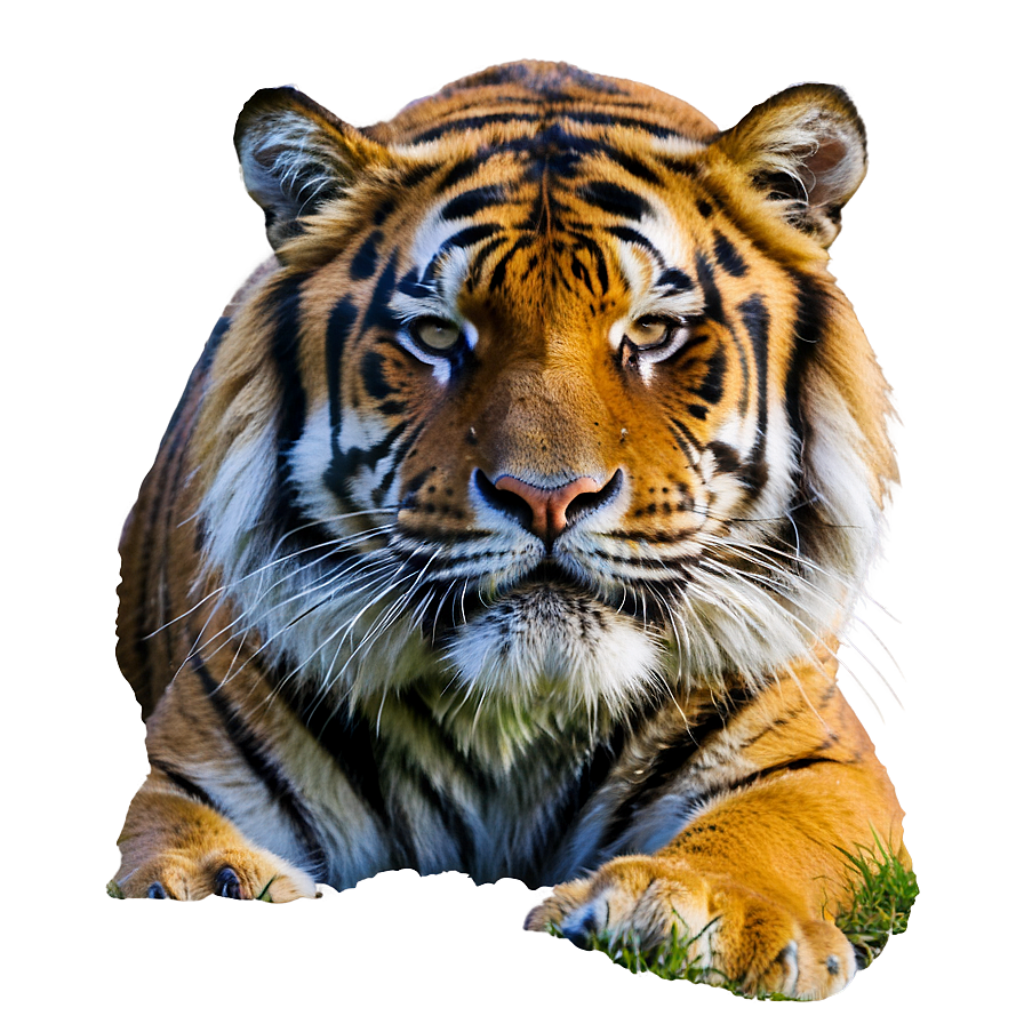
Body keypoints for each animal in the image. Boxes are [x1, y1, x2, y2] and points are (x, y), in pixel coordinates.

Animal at [111, 59, 908, 999]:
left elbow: (767, 833)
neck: (516, 717)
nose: (547, 497)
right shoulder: (195, 775)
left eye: (651, 331)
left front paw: (701, 910)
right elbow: (173, 839)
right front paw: (208, 882)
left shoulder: (823, 767)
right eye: (435, 335)